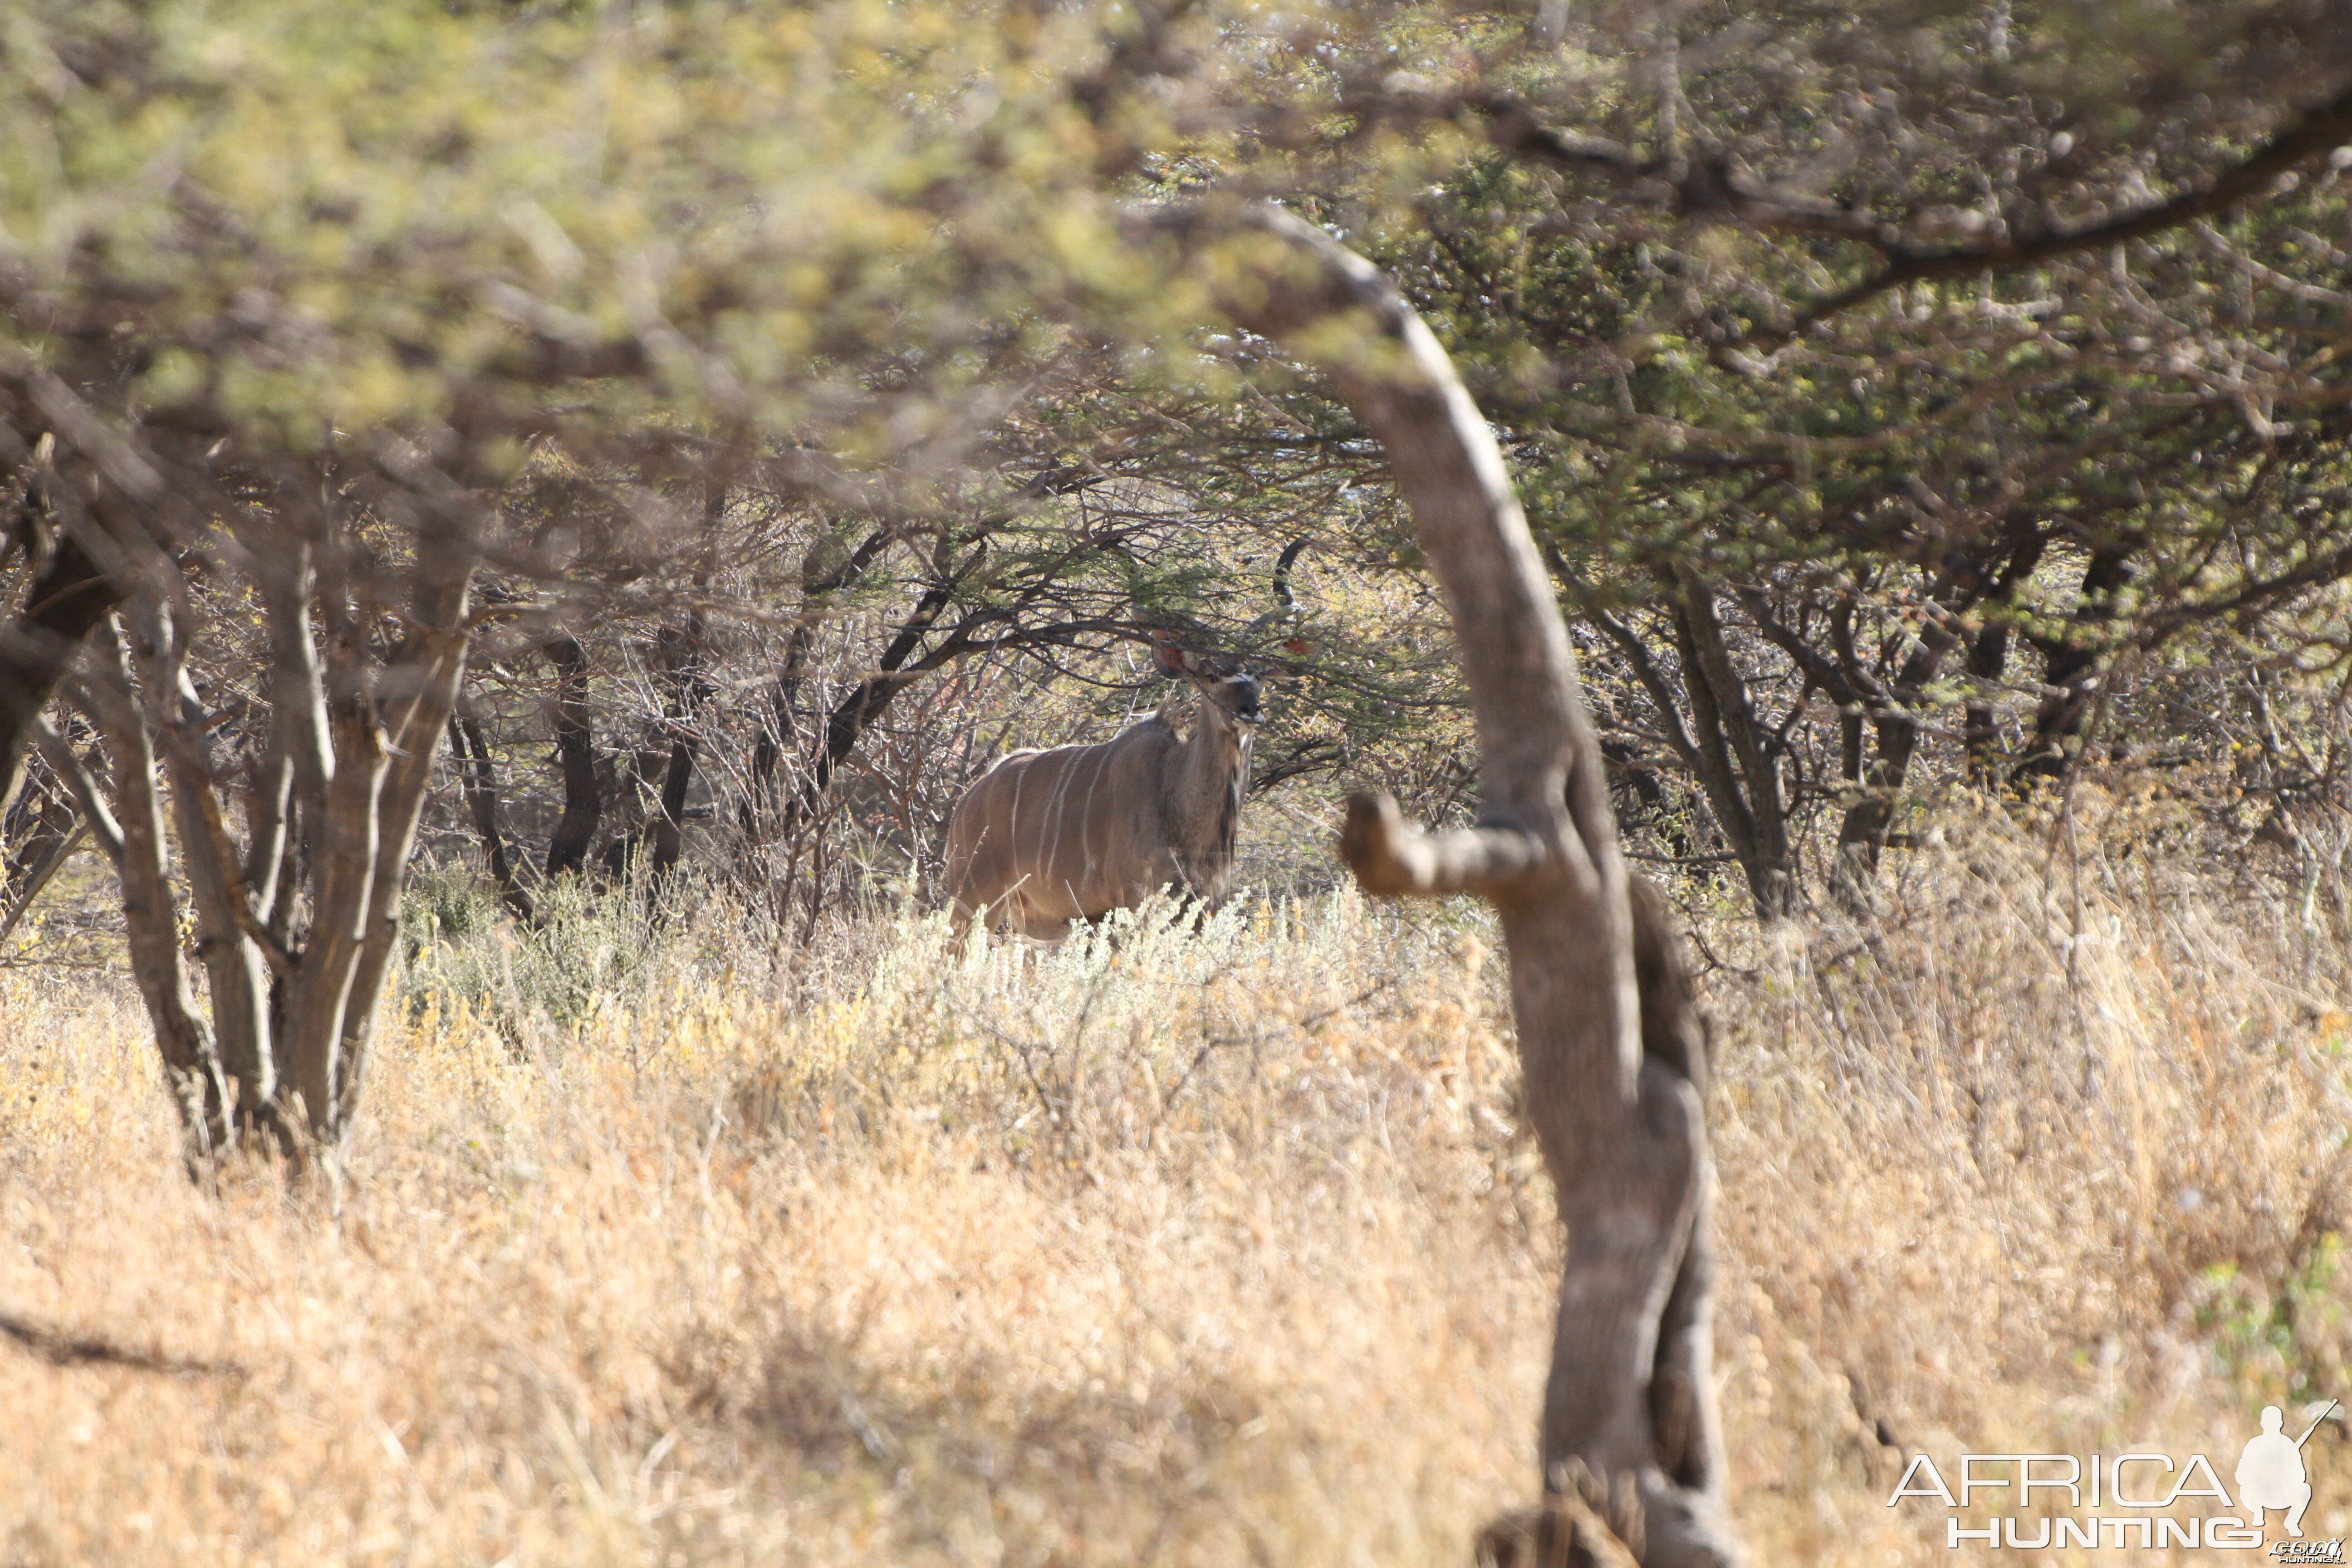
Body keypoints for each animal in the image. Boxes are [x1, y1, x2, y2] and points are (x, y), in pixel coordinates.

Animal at [941, 543, 1317, 931]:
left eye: (1258, 675)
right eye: (1211, 676)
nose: (1249, 710)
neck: (1175, 792)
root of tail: (966, 802)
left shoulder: (1203, 905)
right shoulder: (1134, 900)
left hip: (1037, 921)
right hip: (975, 899)